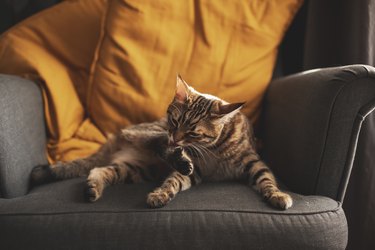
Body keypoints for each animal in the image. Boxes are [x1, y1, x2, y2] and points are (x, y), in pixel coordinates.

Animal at [30, 75, 294, 210]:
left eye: (193, 133)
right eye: (174, 121)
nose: (176, 138)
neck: (214, 152)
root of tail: (113, 143)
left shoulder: (254, 162)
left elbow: (267, 180)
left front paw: (277, 195)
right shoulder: (193, 167)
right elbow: (174, 180)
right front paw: (161, 193)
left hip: (133, 168)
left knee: (99, 170)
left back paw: (92, 187)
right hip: (144, 135)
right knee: (157, 145)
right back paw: (175, 157)